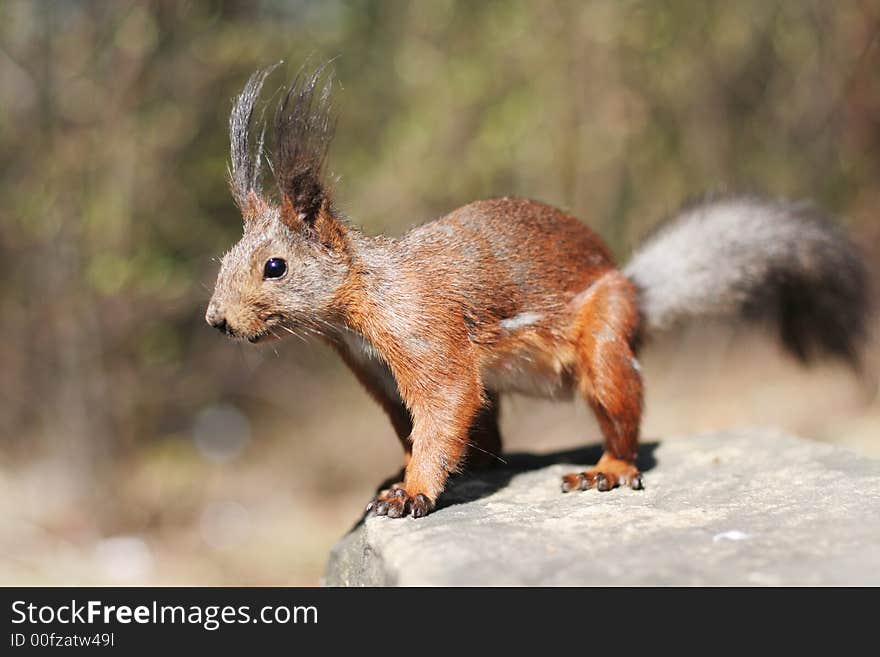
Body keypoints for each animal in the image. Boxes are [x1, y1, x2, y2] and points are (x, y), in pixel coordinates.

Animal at [206, 65, 872, 516]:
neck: (360, 298)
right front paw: (401, 472)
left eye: (274, 267)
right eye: (224, 260)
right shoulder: (377, 373)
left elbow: (444, 405)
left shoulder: (423, 331)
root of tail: (639, 296)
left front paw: (411, 491)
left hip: (604, 340)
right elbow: (423, 423)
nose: (216, 321)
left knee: (620, 414)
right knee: (490, 431)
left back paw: (607, 468)